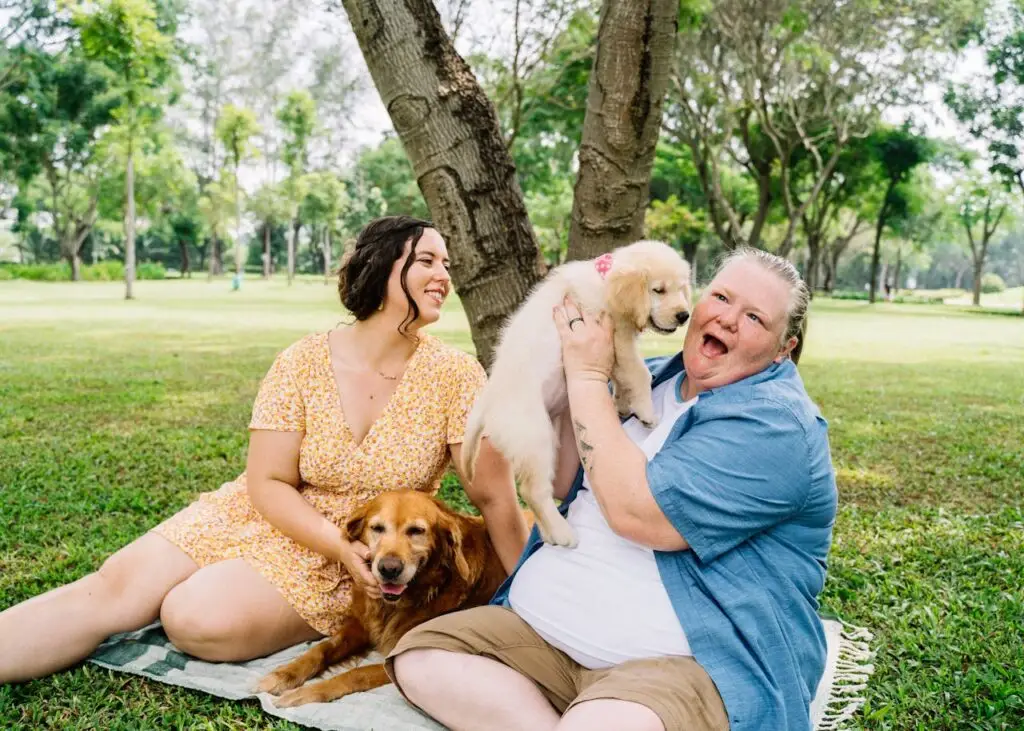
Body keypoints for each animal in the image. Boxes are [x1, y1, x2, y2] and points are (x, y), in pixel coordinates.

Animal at [254, 489, 507, 704]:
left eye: (417, 531)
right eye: (377, 528)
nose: (389, 569)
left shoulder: (397, 656)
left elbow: (358, 673)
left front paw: (309, 692)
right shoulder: (361, 627)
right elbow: (322, 648)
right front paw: (285, 674)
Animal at [462, 239, 688, 548]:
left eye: (681, 288)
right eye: (659, 290)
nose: (684, 315)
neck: (605, 281)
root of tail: (487, 401)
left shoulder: (614, 345)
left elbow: (620, 377)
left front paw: (621, 403)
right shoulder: (617, 337)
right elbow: (638, 373)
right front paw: (646, 412)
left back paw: (550, 534)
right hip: (535, 438)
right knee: (533, 491)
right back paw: (562, 533)